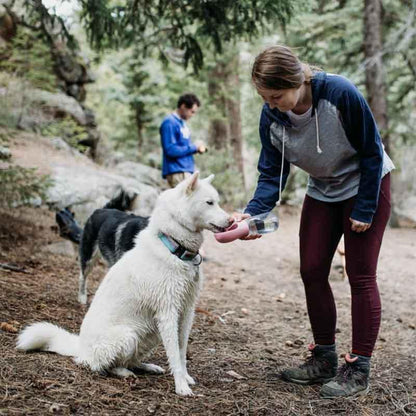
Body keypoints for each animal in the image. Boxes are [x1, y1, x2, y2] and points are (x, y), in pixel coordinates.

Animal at [17, 172, 234, 396]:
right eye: (209, 202)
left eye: (217, 201)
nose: (232, 220)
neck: (174, 247)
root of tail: (80, 347)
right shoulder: (168, 313)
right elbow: (174, 354)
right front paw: (181, 386)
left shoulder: (187, 311)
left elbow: (181, 352)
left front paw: (186, 378)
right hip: (128, 334)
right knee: (101, 365)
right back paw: (122, 372)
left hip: (151, 333)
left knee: (129, 360)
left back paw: (146, 366)